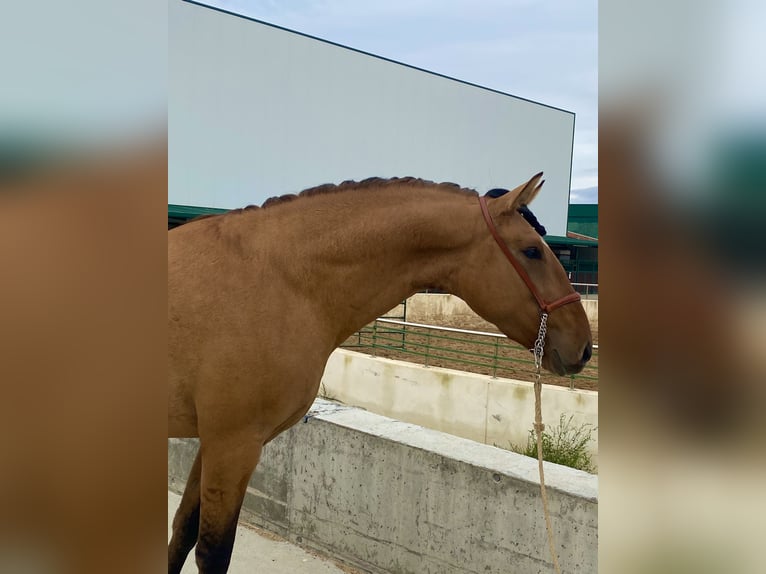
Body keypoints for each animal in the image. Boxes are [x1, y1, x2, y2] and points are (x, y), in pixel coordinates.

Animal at [168, 173, 592, 572]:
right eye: (532, 251)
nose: (584, 346)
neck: (280, 280)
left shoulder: (215, 443)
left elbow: (182, 534)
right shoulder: (233, 445)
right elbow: (212, 551)